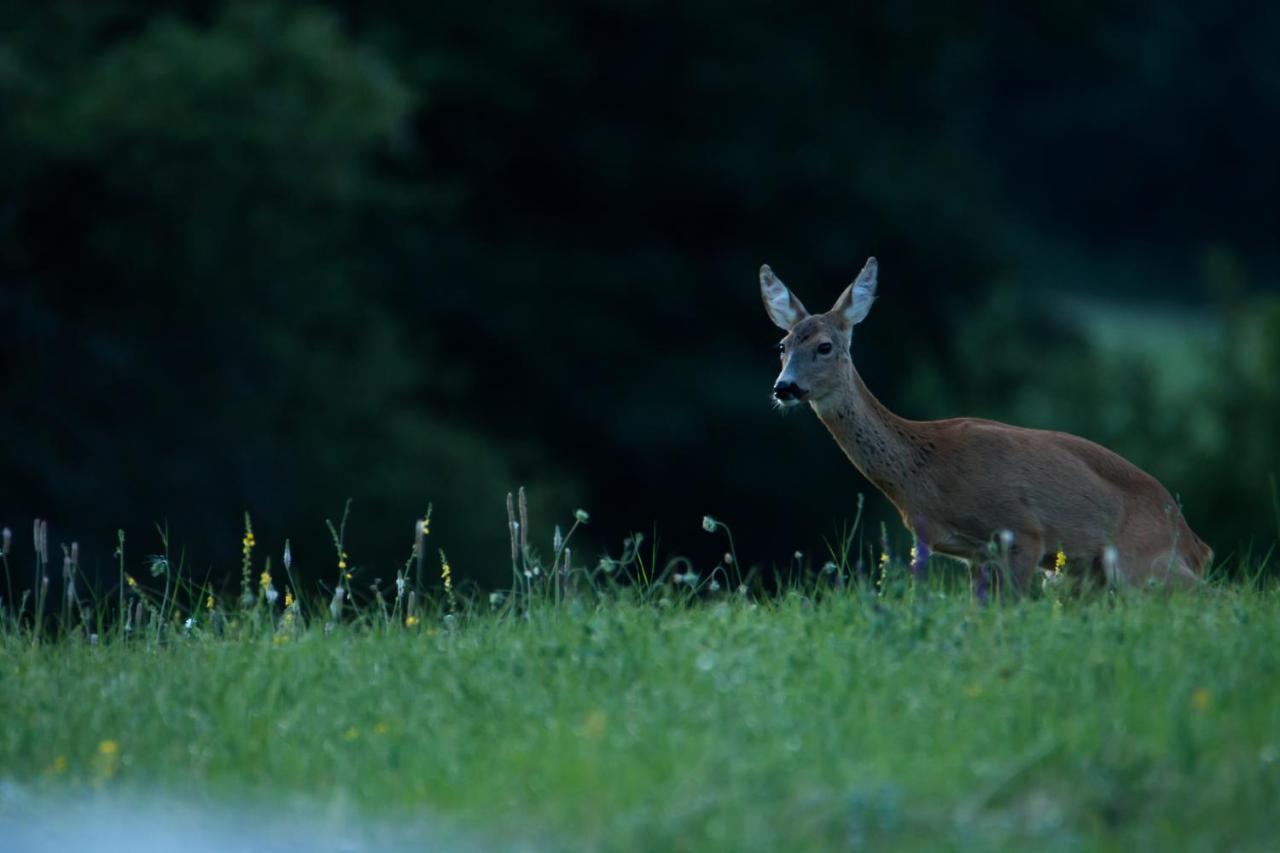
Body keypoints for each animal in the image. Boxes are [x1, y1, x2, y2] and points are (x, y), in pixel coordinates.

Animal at [757, 256, 1208, 594]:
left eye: (825, 346)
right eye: (782, 345)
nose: (784, 387)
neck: (925, 473)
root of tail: (1196, 546)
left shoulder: (1023, 532)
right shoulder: (974, 553)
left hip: (1135, 562)